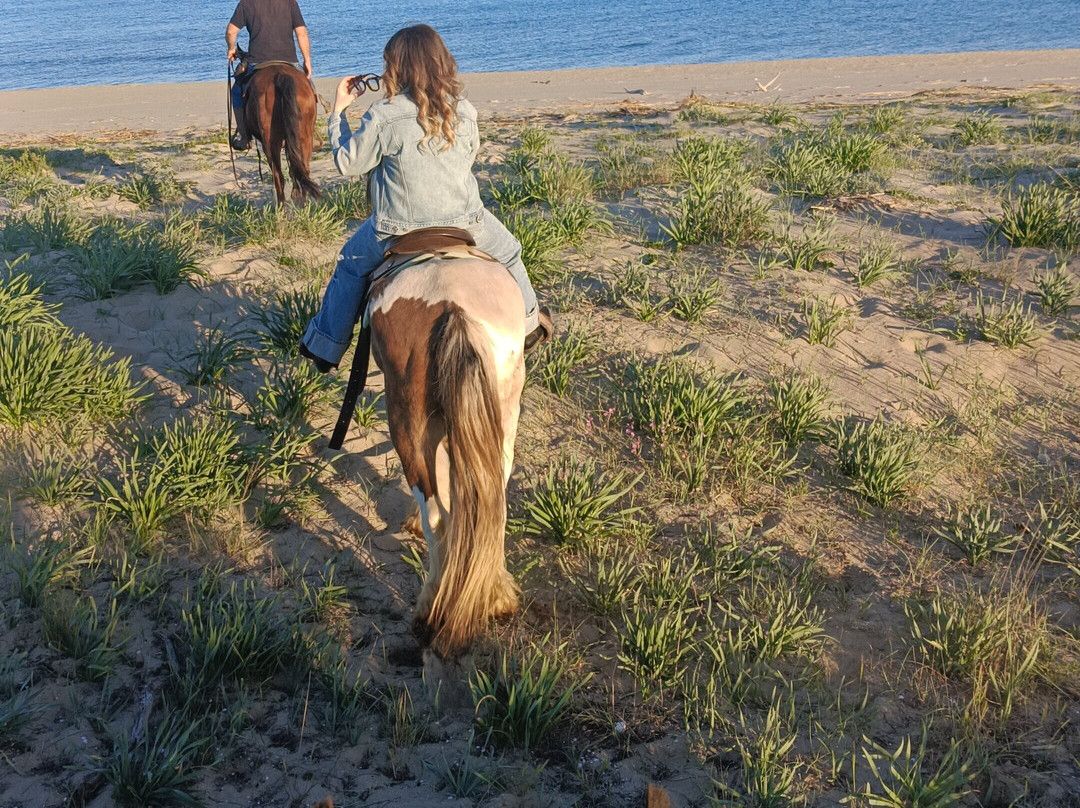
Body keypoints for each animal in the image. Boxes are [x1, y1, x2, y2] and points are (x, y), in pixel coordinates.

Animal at [243, 63, 320, 204]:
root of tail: (281, 76)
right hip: (305, 137)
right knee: (303, 170)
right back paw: (302, 203)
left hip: (270, 143)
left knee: (278, 178)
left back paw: (281, 207)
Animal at [367, 253, 525, 659]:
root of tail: (454, 307)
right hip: (501, 417)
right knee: (492, 503)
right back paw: (497, 597)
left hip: (406, 419)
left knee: (435, 513)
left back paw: (428, 612)